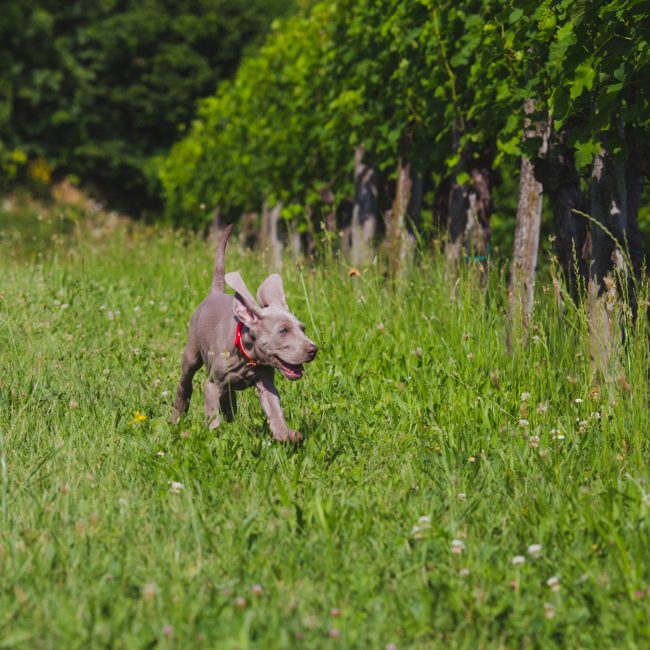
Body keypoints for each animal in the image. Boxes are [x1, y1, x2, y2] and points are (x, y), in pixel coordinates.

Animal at [170, 225, 316, 442]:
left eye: (302, 328)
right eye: (283, 331)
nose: (314, 350)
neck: (248, 356)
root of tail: (215, 293)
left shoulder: (266, 384)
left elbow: (275, 410)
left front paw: (285, 434)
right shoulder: (212, 385)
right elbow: (212, 415)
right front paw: (214, 437)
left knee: (228, 400)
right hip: (191, 354)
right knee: (185, 385)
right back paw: (176, 418)